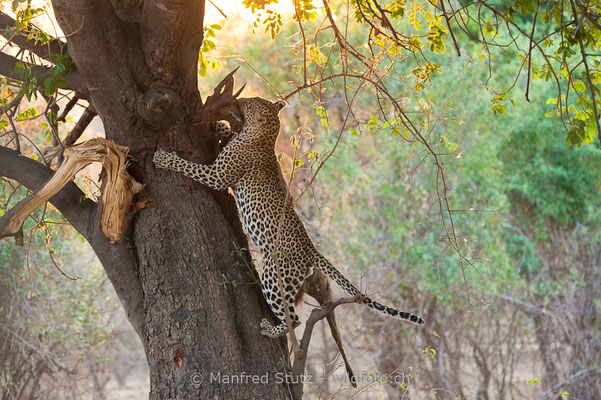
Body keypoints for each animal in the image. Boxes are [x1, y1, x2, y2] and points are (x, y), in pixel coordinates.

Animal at [155, 97, 426, 338]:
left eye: (249, 102)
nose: (239, 101)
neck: (262, 137)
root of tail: (310, 249)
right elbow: (228, 134)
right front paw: (219, 127)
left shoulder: (218, 176)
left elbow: (191, 167)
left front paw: (164, 159)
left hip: (274, 275)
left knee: (294, 319)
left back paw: (271, 330)